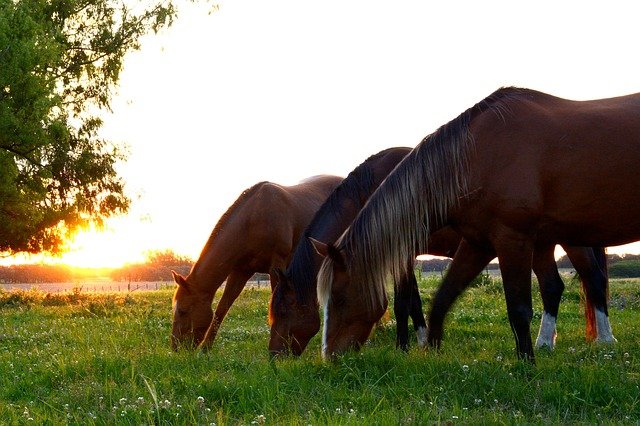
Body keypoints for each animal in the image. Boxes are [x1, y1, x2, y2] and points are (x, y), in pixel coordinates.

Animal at [168, 175, 342, 352]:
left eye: (182, 311)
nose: (176, 347)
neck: (252, 220)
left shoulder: (277, 265)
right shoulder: (240, 271)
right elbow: (222, 308)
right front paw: (206, 349)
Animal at [268, 150, 608, 356]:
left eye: (284, 311)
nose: (274, 355)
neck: (374, 189)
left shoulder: (401, 253)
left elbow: (404, 302)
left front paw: (404, 346)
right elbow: (414, 301)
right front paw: (421, 340)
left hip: (568, 241)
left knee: (593, 279)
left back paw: (604, 340)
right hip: (540, 244)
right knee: (553, 286)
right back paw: (546, 343)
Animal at [316, 88, 640, 362]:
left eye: (340, 298)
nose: (329, 356)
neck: (476, 157)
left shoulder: (511, 239)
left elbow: (518, 309)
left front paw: (525, 367)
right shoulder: (477, 243)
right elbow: (442, 299)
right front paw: (430, 351)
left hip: (571, 241)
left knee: (593, 280)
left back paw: (604, 342)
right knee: (555, 286)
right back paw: (547, 343)